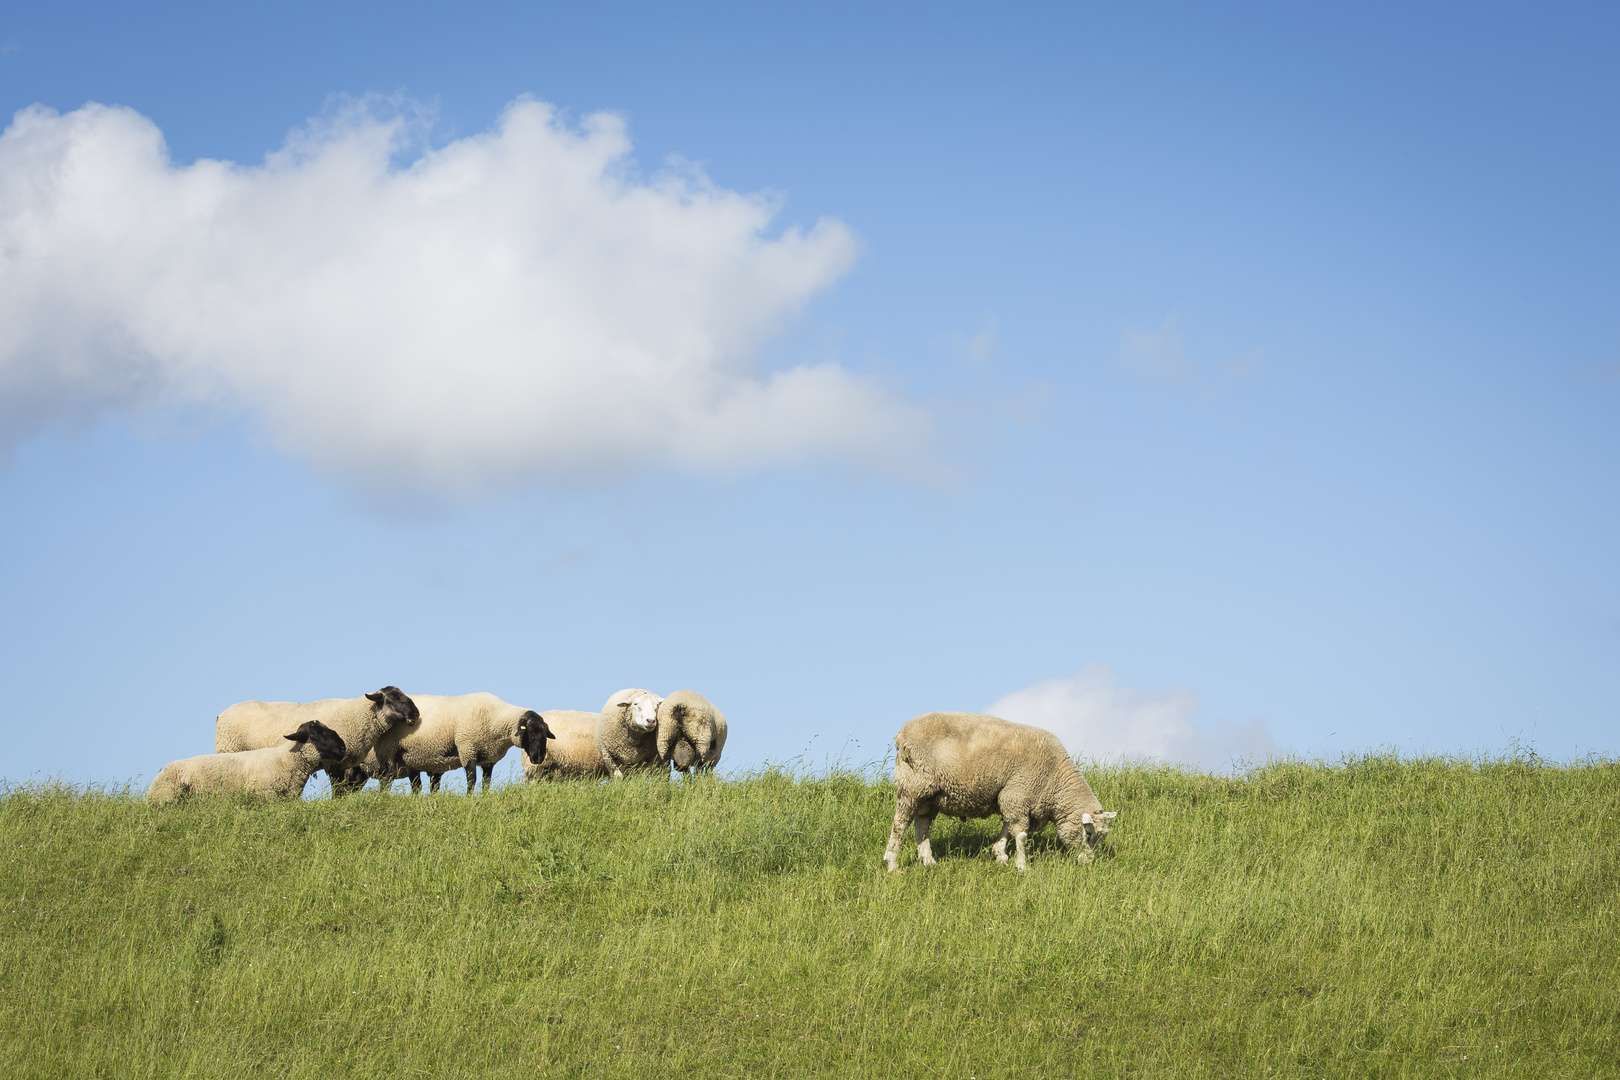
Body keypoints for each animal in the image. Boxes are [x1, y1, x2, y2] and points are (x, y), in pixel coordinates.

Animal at [212, 683, 421, 793]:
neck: (354, 716)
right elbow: (338, 791)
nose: (416, 714)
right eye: (392, 699)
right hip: (229, 751)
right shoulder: (334, 764)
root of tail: (221, 715)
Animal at [367, 693, 557, 793]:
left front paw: (484, 798)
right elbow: (472, 781)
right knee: (386, 780)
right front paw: (470, 799)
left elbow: (486, 783)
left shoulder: (488, 760)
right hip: (388, 751)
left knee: (415, 786)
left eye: (546, 735)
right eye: (531, 733)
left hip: (410, 758)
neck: (495, 719)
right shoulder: (467, 749)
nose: (538, 758)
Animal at [887, 712, 1114, 874]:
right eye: (1089, 833)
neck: (1054, 780)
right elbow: (1021, 834)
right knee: (900, 824)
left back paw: (928, 860)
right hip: (913, 785)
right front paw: (1022, 866)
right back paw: (892, 863)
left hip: (930, 795)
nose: (1088, 863)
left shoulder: (1011, 798)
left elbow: (1008, 827)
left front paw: (1000, 854)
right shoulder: (1017, 794)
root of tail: (902, 734)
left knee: (921, 824)